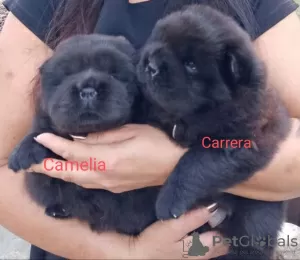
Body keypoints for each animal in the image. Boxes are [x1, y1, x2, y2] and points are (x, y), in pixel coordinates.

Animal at [137, 4, 290, 260]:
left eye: (191, 65)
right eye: (159, 41)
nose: (151, 66)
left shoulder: (243, 141)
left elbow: (197, 162)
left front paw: (169, 200)